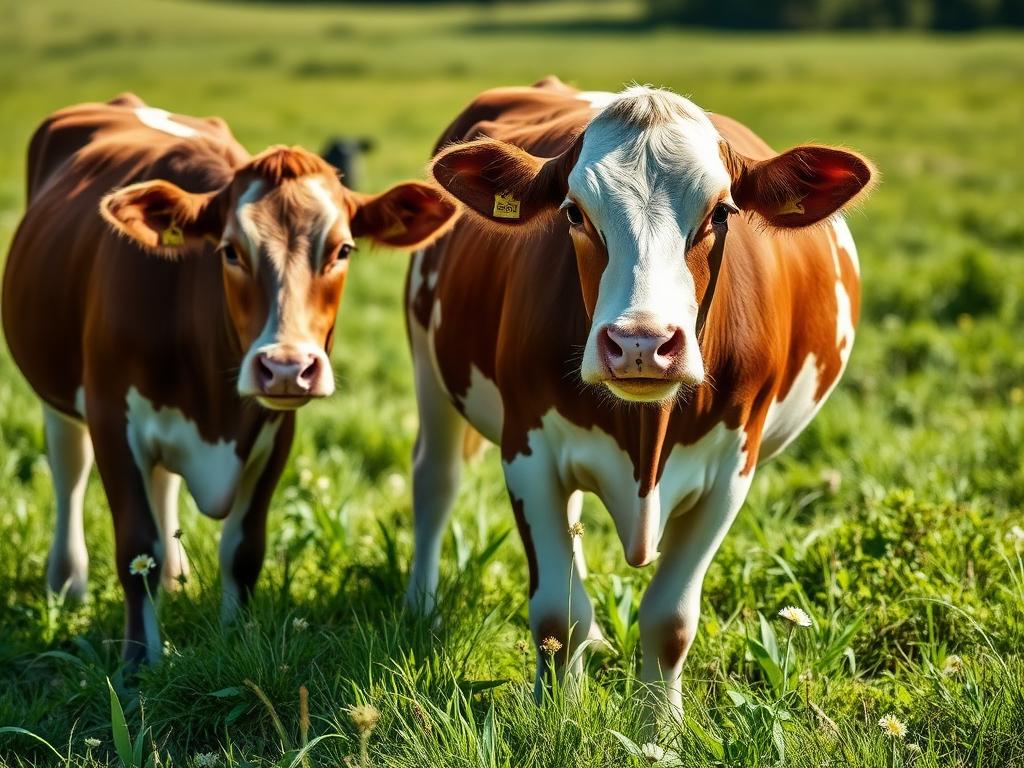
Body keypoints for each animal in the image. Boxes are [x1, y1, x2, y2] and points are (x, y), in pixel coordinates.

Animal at [3, 94, 456, 665]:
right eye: (230, 251)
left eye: (343, 250)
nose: (286, 366)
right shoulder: (111, 417)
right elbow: (137, 546)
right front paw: (140, 660)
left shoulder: (275, 432)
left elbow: (242, 551)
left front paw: (236, 636)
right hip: (57, 391)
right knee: (69, 470)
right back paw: (66, 583)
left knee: (163, 482)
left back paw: (173, 581)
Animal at [404, 76, 873, 720]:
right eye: (574, 212)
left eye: (721, 211)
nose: (640, 344)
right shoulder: (527, 451)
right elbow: (559, 615)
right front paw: (557, 717)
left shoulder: (732, 469)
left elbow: (668, 620)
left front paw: (661, 727)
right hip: (429, 361)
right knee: (435, 480)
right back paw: (421, 607)